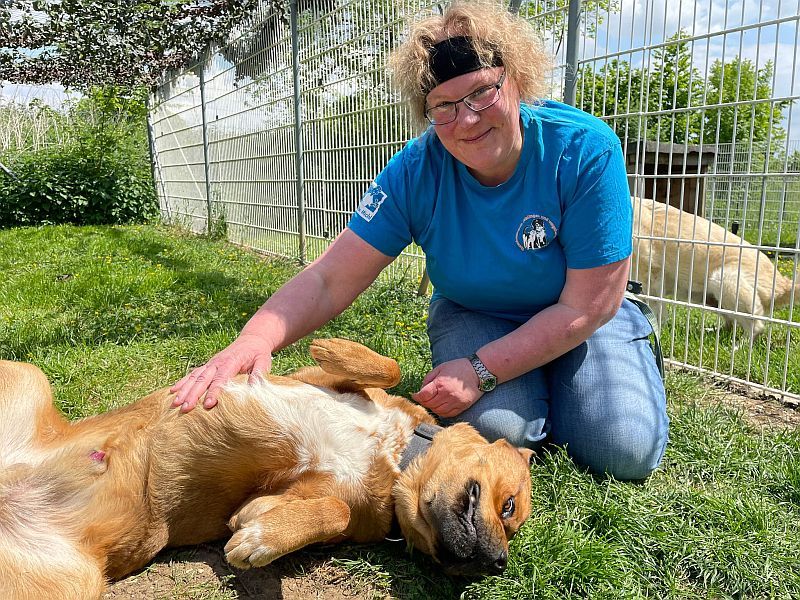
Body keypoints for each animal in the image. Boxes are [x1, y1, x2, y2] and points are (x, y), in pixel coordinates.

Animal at [0, 338, 533, 600]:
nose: (497, 563)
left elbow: (332, 511)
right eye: (508, 506)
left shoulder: (260, 504)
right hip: (27, 374)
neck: (394, 454)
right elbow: (390, 368)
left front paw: (262, 541)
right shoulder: (314, 380)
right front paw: (334, 345)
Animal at [632, 196, 800, 338]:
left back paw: (740, 347)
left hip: (723, 280)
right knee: (730, 324)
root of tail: (783, 284)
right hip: (709, 297)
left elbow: (655, 312)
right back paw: (712, 332)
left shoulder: (650, 278)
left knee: (755, 327)